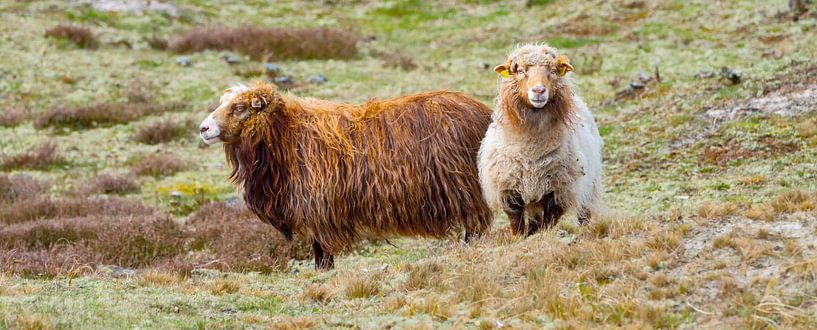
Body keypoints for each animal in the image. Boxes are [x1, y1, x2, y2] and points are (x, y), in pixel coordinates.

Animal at [199, 82, 490, 268]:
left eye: (240, 108)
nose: (203, 128)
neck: (286, 134)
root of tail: (483, 112)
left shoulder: (318, 209)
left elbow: (322, 255)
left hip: (467, 190)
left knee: (475, 228)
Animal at [474, 44, 604, 237]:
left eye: (553, 71)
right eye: (520, 70)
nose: (538, 91)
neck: (531, 152)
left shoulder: (558, 190)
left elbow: (548, 223)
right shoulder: (509, 190)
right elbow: (517, 225)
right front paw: (521, 239)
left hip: (588, 185)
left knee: (584, 212)